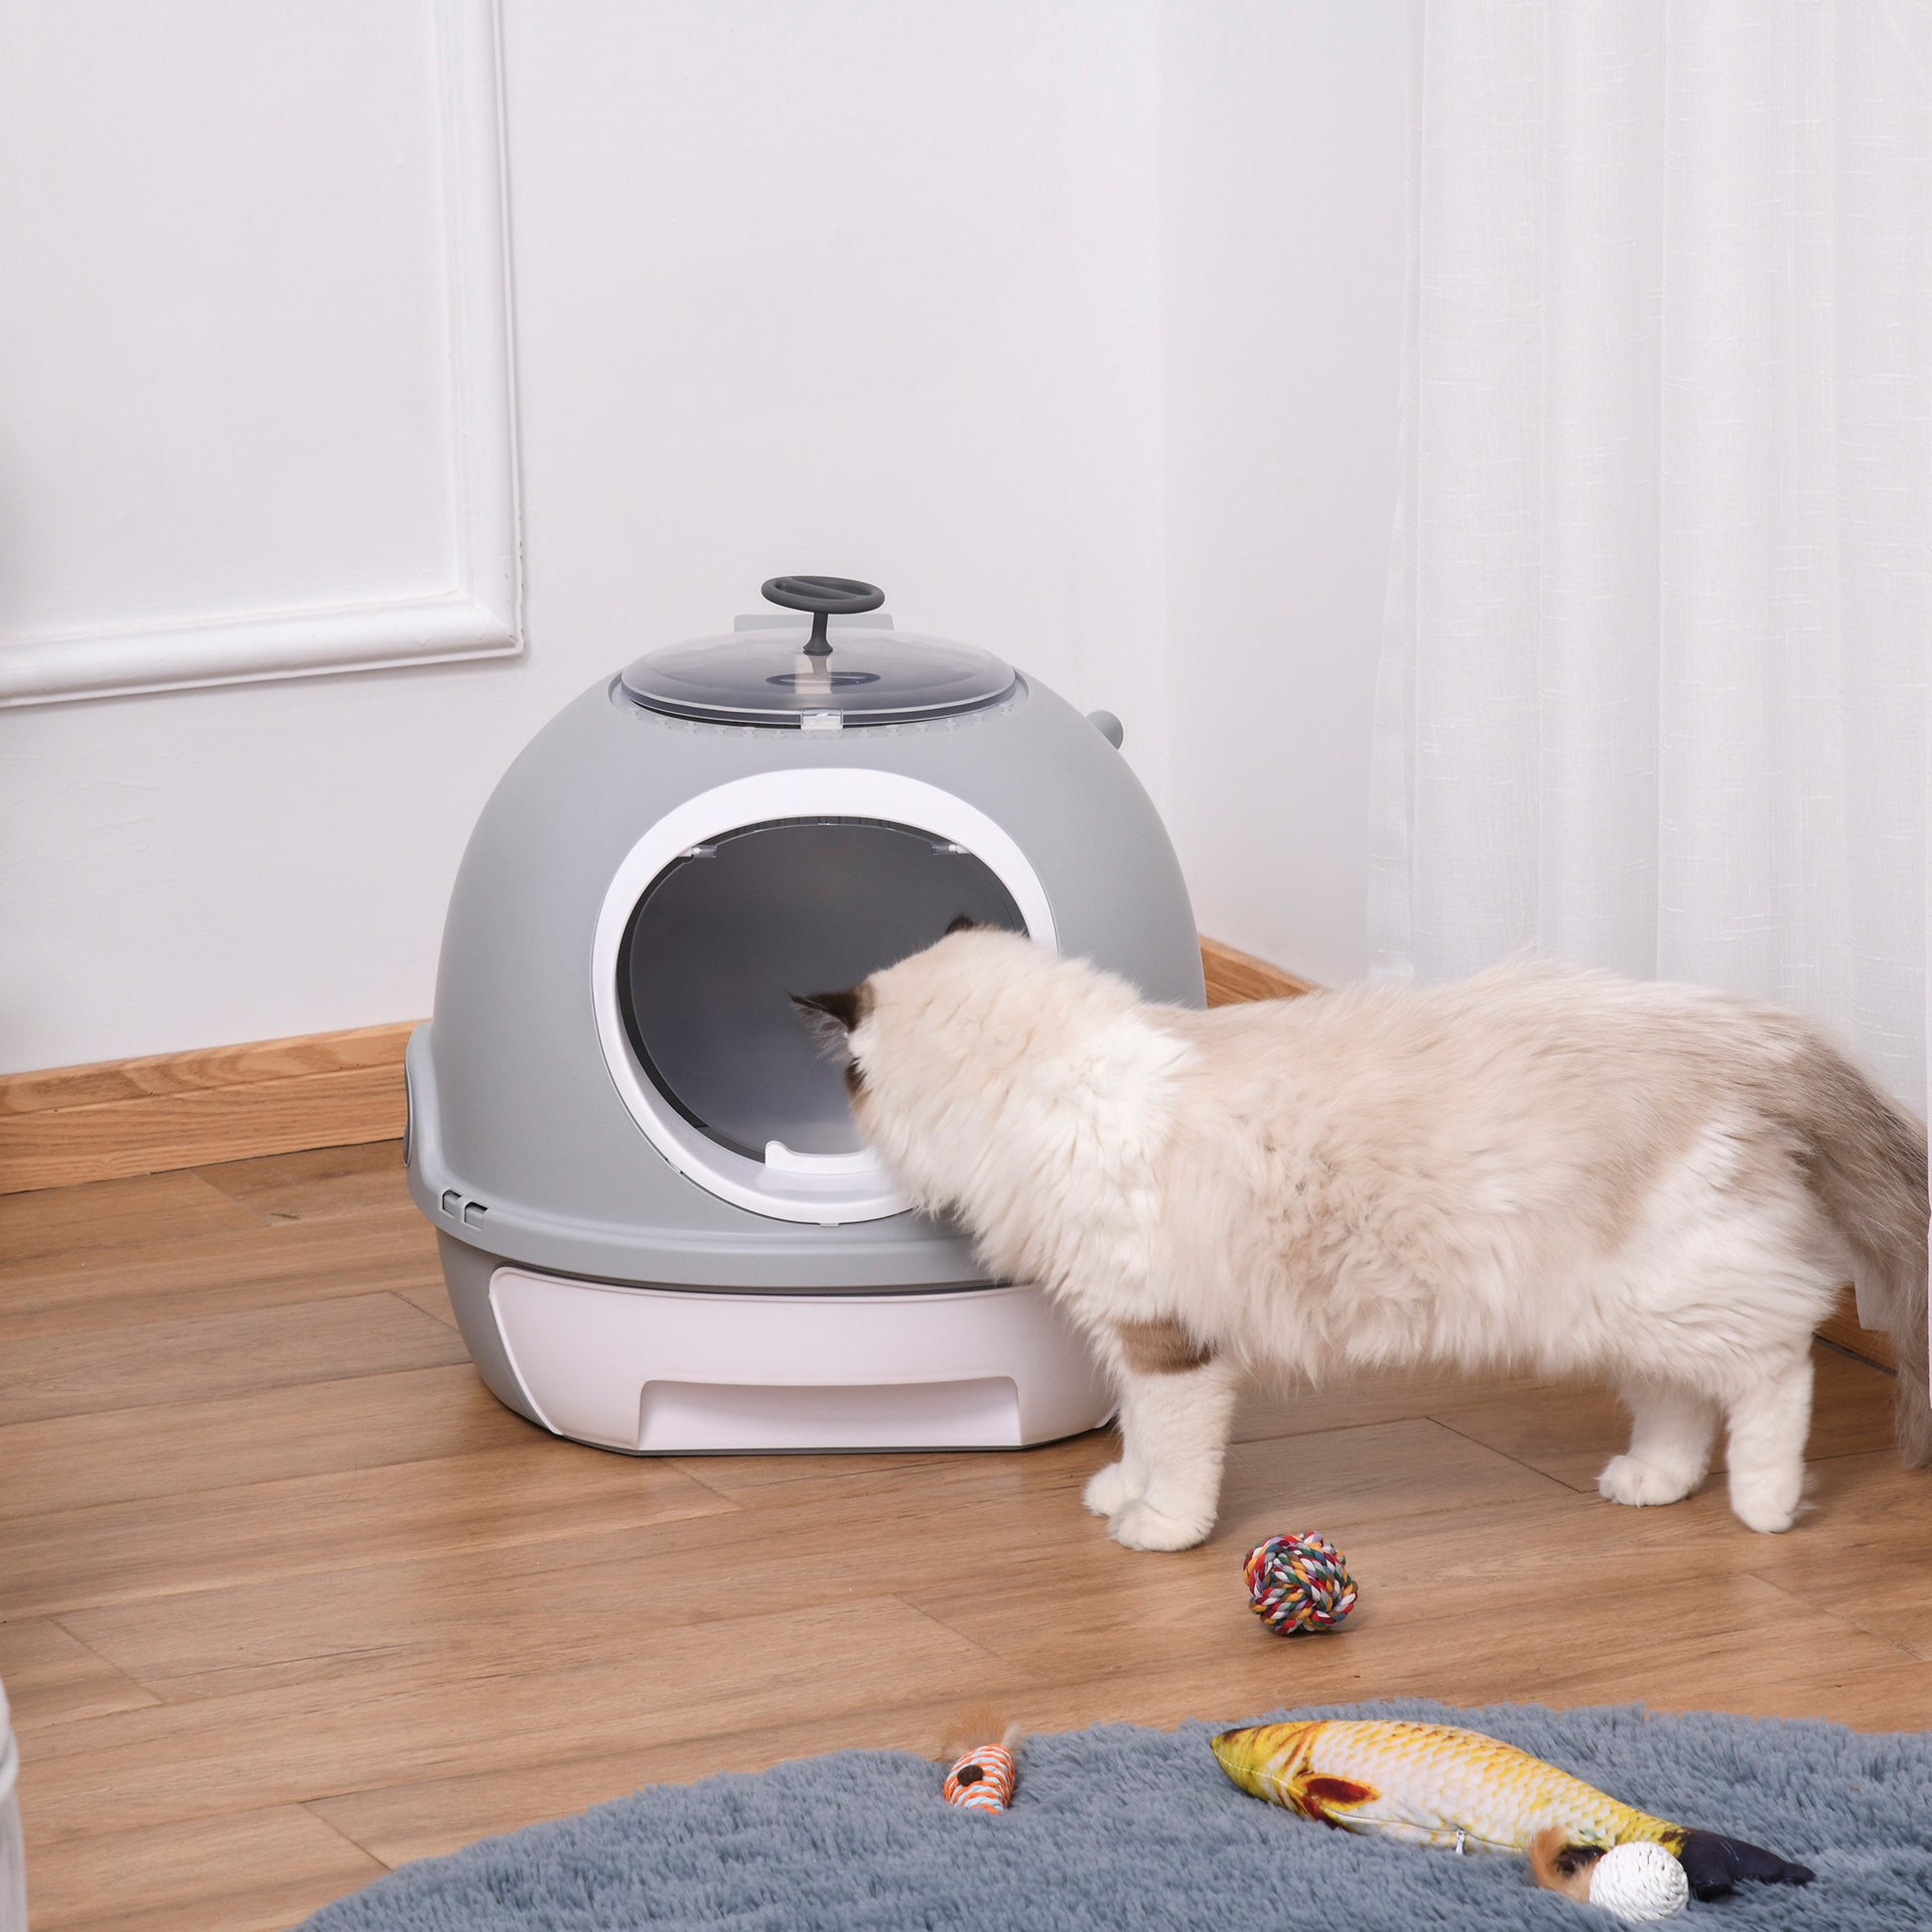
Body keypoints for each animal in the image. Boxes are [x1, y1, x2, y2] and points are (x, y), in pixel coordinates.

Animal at [791, 927, 1924, 1545]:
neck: (1052, 1086)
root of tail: (1746, 1031)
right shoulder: (1126, 1328)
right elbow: (1132, 1431)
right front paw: (1118, 1493)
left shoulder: (1166, 1335)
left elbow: (1172, 1450)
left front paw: (1155, 1529)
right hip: (1610, 1306)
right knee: (1680, 1398)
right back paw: (1652, 1481)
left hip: (1669, 1288)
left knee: (1777, 1365)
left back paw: (1765, 1503)